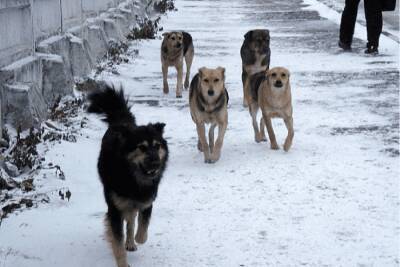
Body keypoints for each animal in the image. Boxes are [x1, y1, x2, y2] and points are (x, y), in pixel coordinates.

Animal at [87, 86, 169, 267]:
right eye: (142, 148)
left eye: (157, 146)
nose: (156, 163)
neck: (133, 179)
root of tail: (121, 120)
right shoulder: (115, 209)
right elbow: (117, 241)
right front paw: (123, 263)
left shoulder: (146, 201)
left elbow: (143, 227)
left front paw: (137, 239)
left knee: (131, 221)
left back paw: (131, 242)